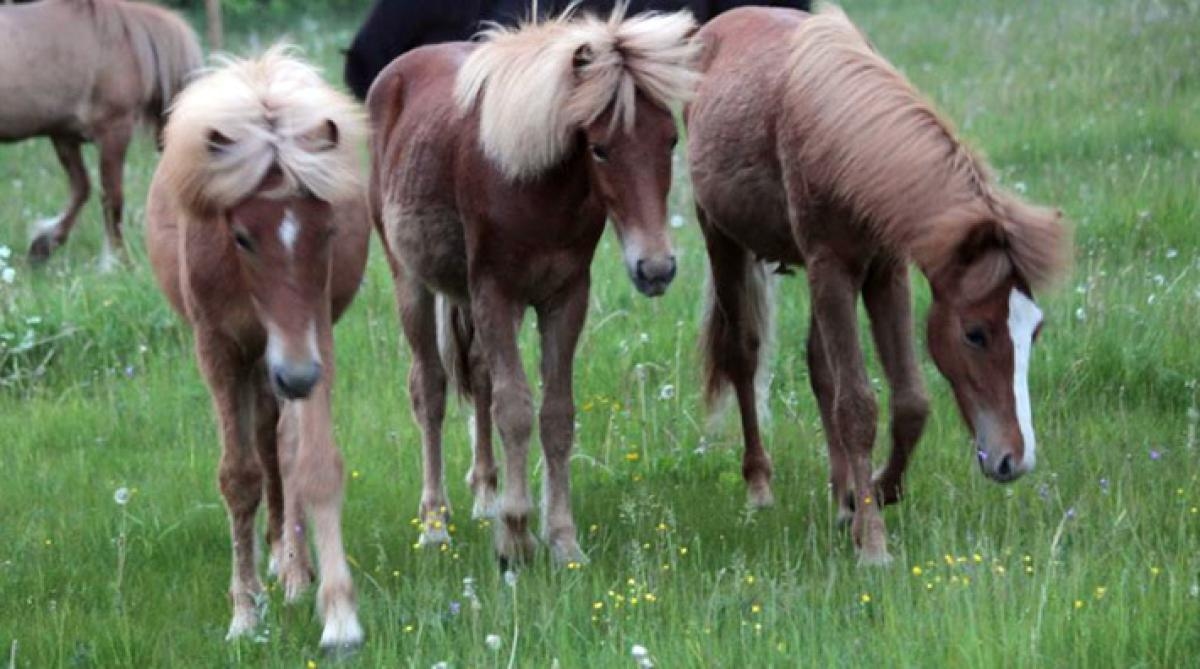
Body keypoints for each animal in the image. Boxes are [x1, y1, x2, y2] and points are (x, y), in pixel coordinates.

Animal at [0, 0, 201, 267]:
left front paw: (43, 245)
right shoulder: (113, 132)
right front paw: (119, 260)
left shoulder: (64, 136)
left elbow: (81, 188)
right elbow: (112, 197)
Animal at [145, 47, 369, 652]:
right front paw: (244, 613)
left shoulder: (313, 335)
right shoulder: (220, 349)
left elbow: (313, 463)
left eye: (328, 230)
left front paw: (338, 614)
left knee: (282, 447)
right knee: (265, 447)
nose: (296, 376)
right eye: (242, 236)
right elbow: (239, 477)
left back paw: (293, 568)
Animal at [369, 9, 700, 565]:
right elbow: (516, 411)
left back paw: (485, 497)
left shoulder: (564, 299)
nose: (655, 269)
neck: (535, 189)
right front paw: (517, 537)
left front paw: (562, 540)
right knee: (430, 390)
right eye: (600, 149)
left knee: (478, 374)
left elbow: (556, 415)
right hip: (411, 282)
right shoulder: (496, 295)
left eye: (671, 140)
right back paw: (435, 525)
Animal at [691, 7, 1075, 568]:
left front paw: (873, 492)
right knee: (744, 355)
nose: (1015, 459)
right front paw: (873, 545)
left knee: (819, 368)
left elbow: (909, 401)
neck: (842, 142)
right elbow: (857, 407)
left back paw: (842, 497)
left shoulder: (885, 273)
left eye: (1036, 330)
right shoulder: (832, 270)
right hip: (722, 238)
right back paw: (760, 486)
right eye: (976, 333)